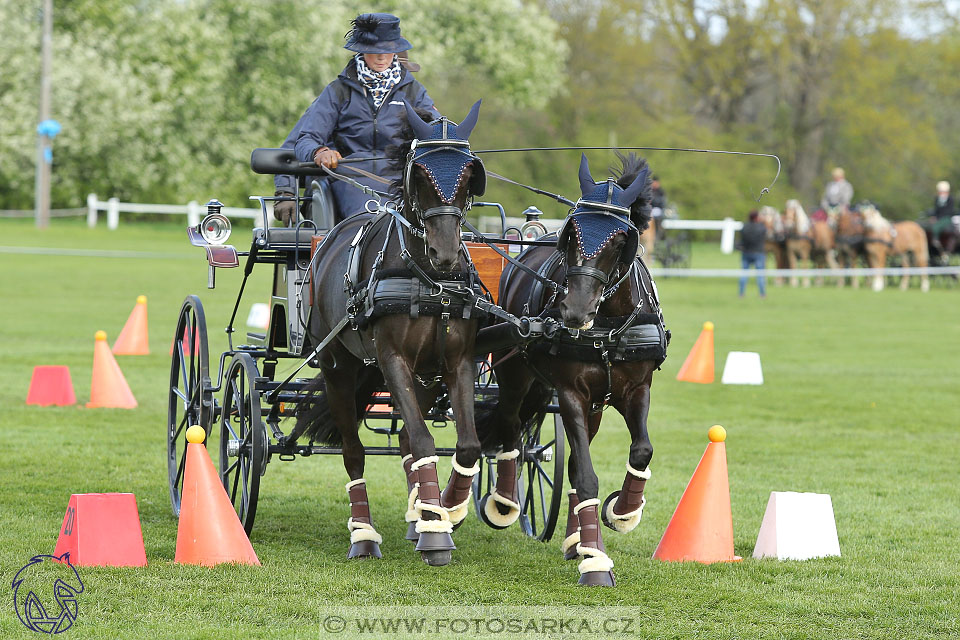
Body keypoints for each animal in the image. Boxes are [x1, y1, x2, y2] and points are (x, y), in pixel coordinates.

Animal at [292, 99, 488, 564]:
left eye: (469, 174)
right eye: (420, 174)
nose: (445, 253)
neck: (431, 281)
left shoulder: (457, 362)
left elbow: (466, 444)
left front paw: (446, 512)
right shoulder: (393, 359)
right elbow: (422, 440)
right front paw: (437, 536)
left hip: (416, 375)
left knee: (400, 438)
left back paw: (421, 516)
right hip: (339, 366)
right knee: (354, 450)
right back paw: (364, 534)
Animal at [478, 152, 668, 588]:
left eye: (620, 239)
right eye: (573, 231)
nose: (574, 311)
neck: (606, 326)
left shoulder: (637, 390)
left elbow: (641, 450)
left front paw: (621, 512)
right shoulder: (570, 395)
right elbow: (585, 476)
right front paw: (596, 561)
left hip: (594, 404)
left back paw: (573, 539)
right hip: (515, 375)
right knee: (509, 428)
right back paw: (503, 502)